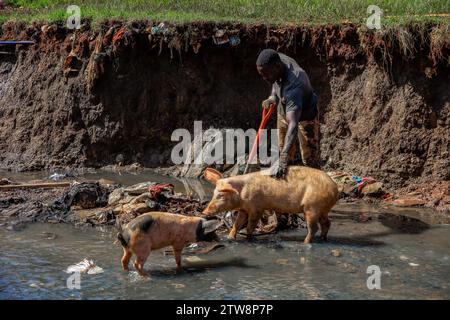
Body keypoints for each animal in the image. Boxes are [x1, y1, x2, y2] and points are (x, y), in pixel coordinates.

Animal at [203, 166, 338, 244]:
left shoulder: (257, 208)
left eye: (221, 195)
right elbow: (237, 224)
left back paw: (304, 242)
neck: (242, 193)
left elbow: (250, 225)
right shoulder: (244, 209)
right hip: (322, 210)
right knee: (327, 223)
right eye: (213, 193)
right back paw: (323, 239)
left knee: (313, 228)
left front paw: (249, 239)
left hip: (312, 208)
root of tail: (335, 188)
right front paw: (230, 238)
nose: (204, 212)